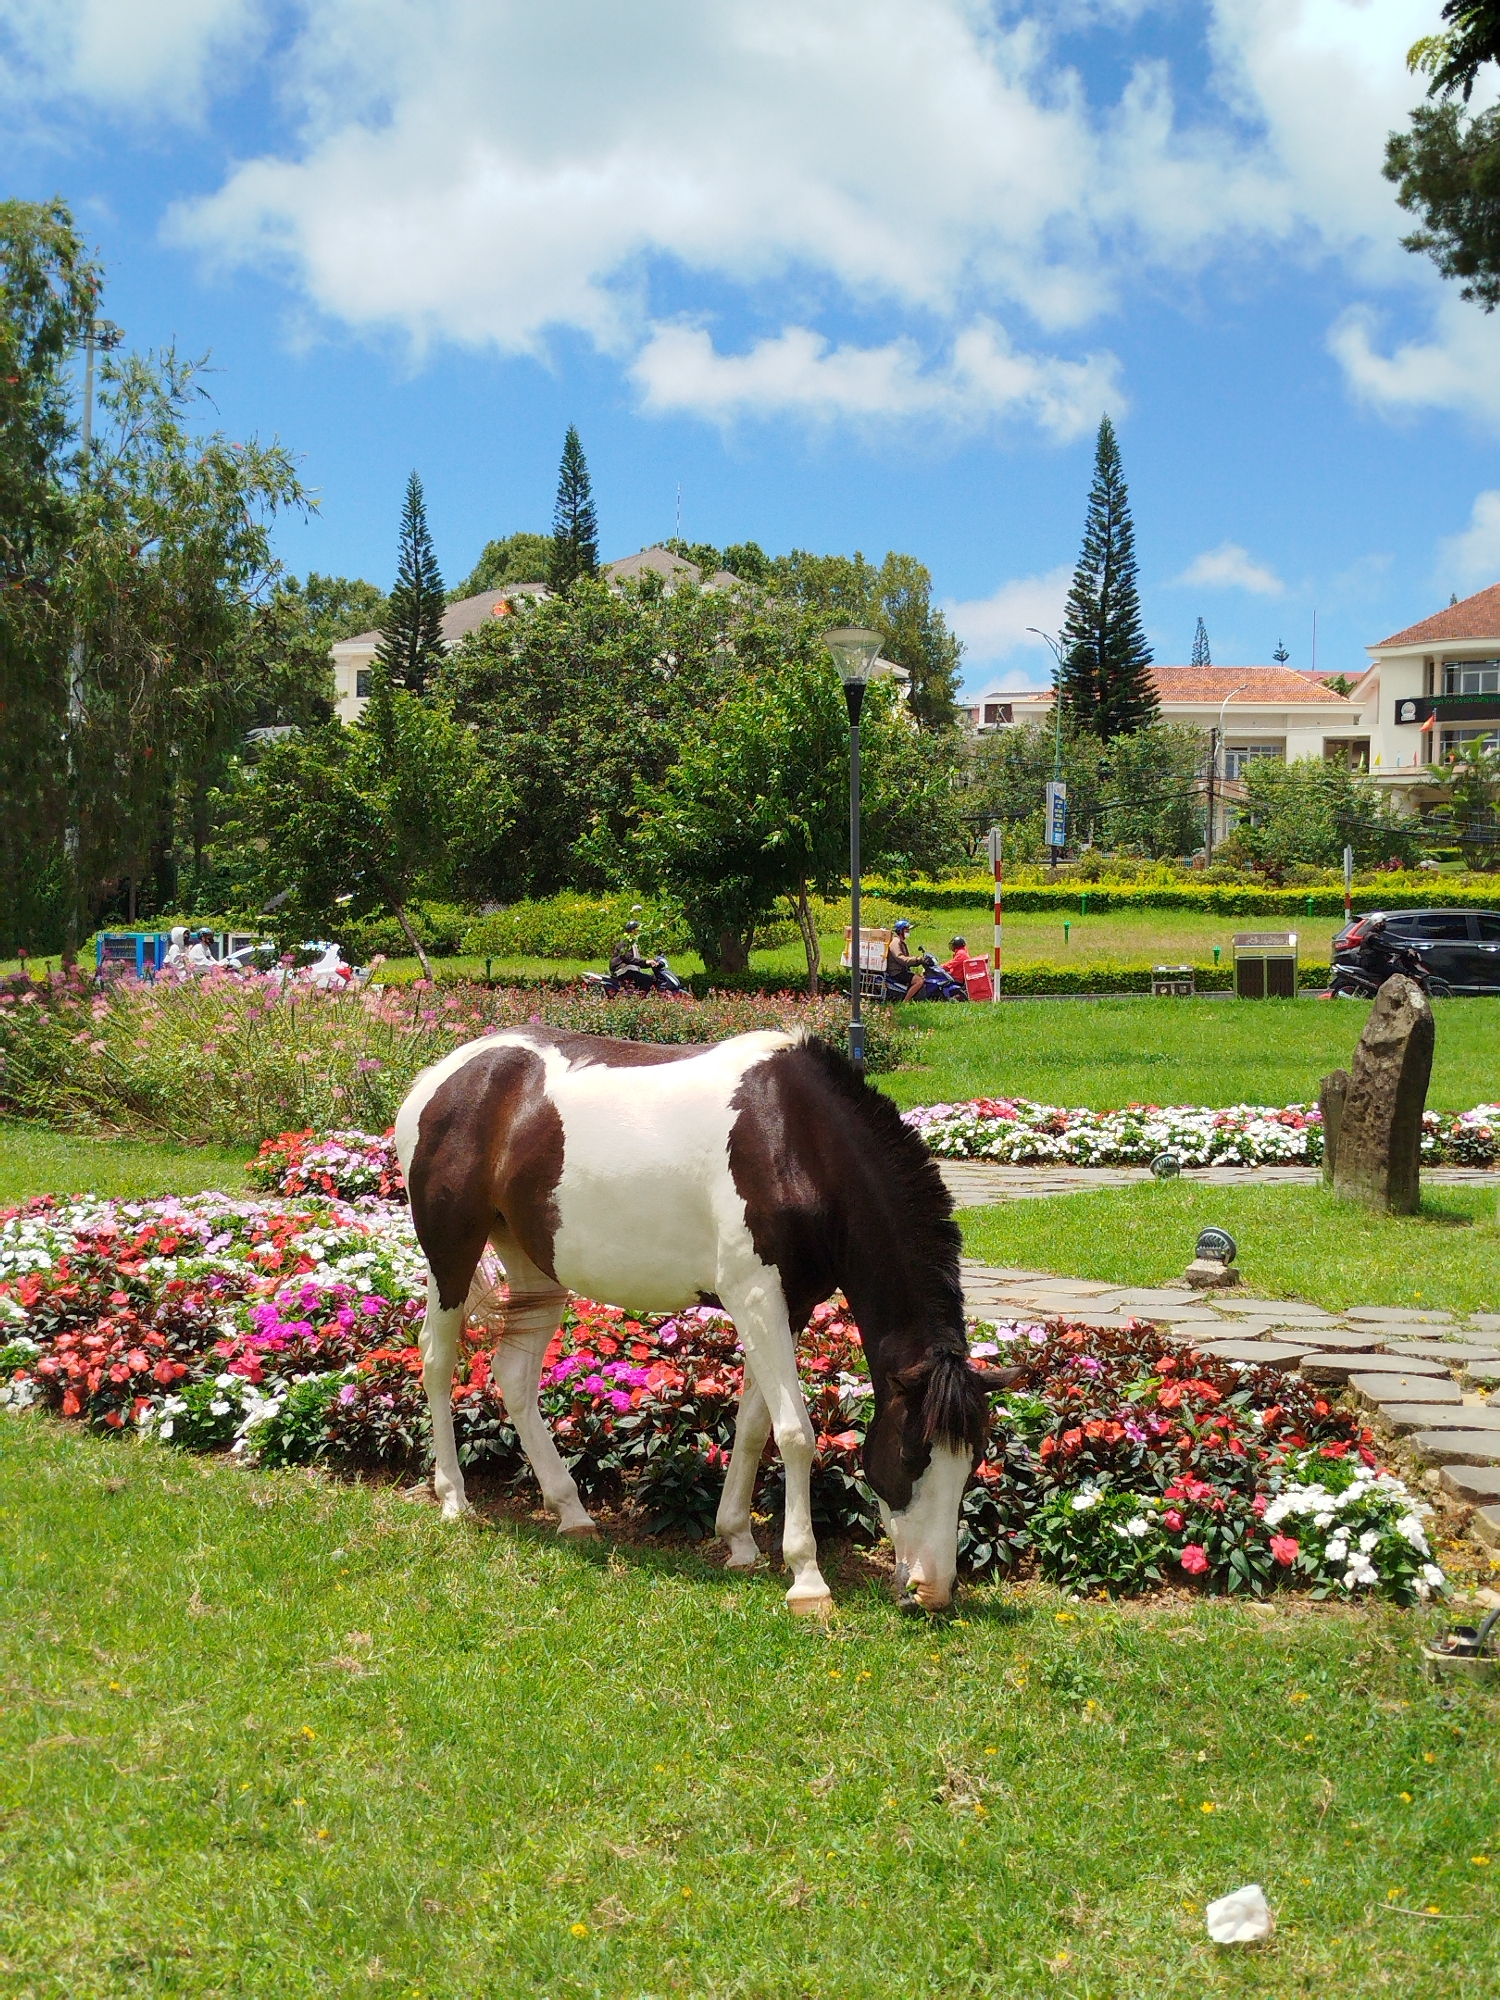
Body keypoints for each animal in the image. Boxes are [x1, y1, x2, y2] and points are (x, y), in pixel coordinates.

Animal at [393, 1025, 1016, 1614]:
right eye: (912, 1454)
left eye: (973, 1459)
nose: (932, 1591)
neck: (796, 1141)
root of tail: (441, 1078)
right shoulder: (755, 1297)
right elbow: (796, 1434)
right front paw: (806, 1578)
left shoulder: (789, 1307)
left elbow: (755, 1426)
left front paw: (737, 1539)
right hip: (451, 1254)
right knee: (437, 1361)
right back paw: (454, 1498)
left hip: (535, 1268)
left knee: (515, 1376)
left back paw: (571, 1511)